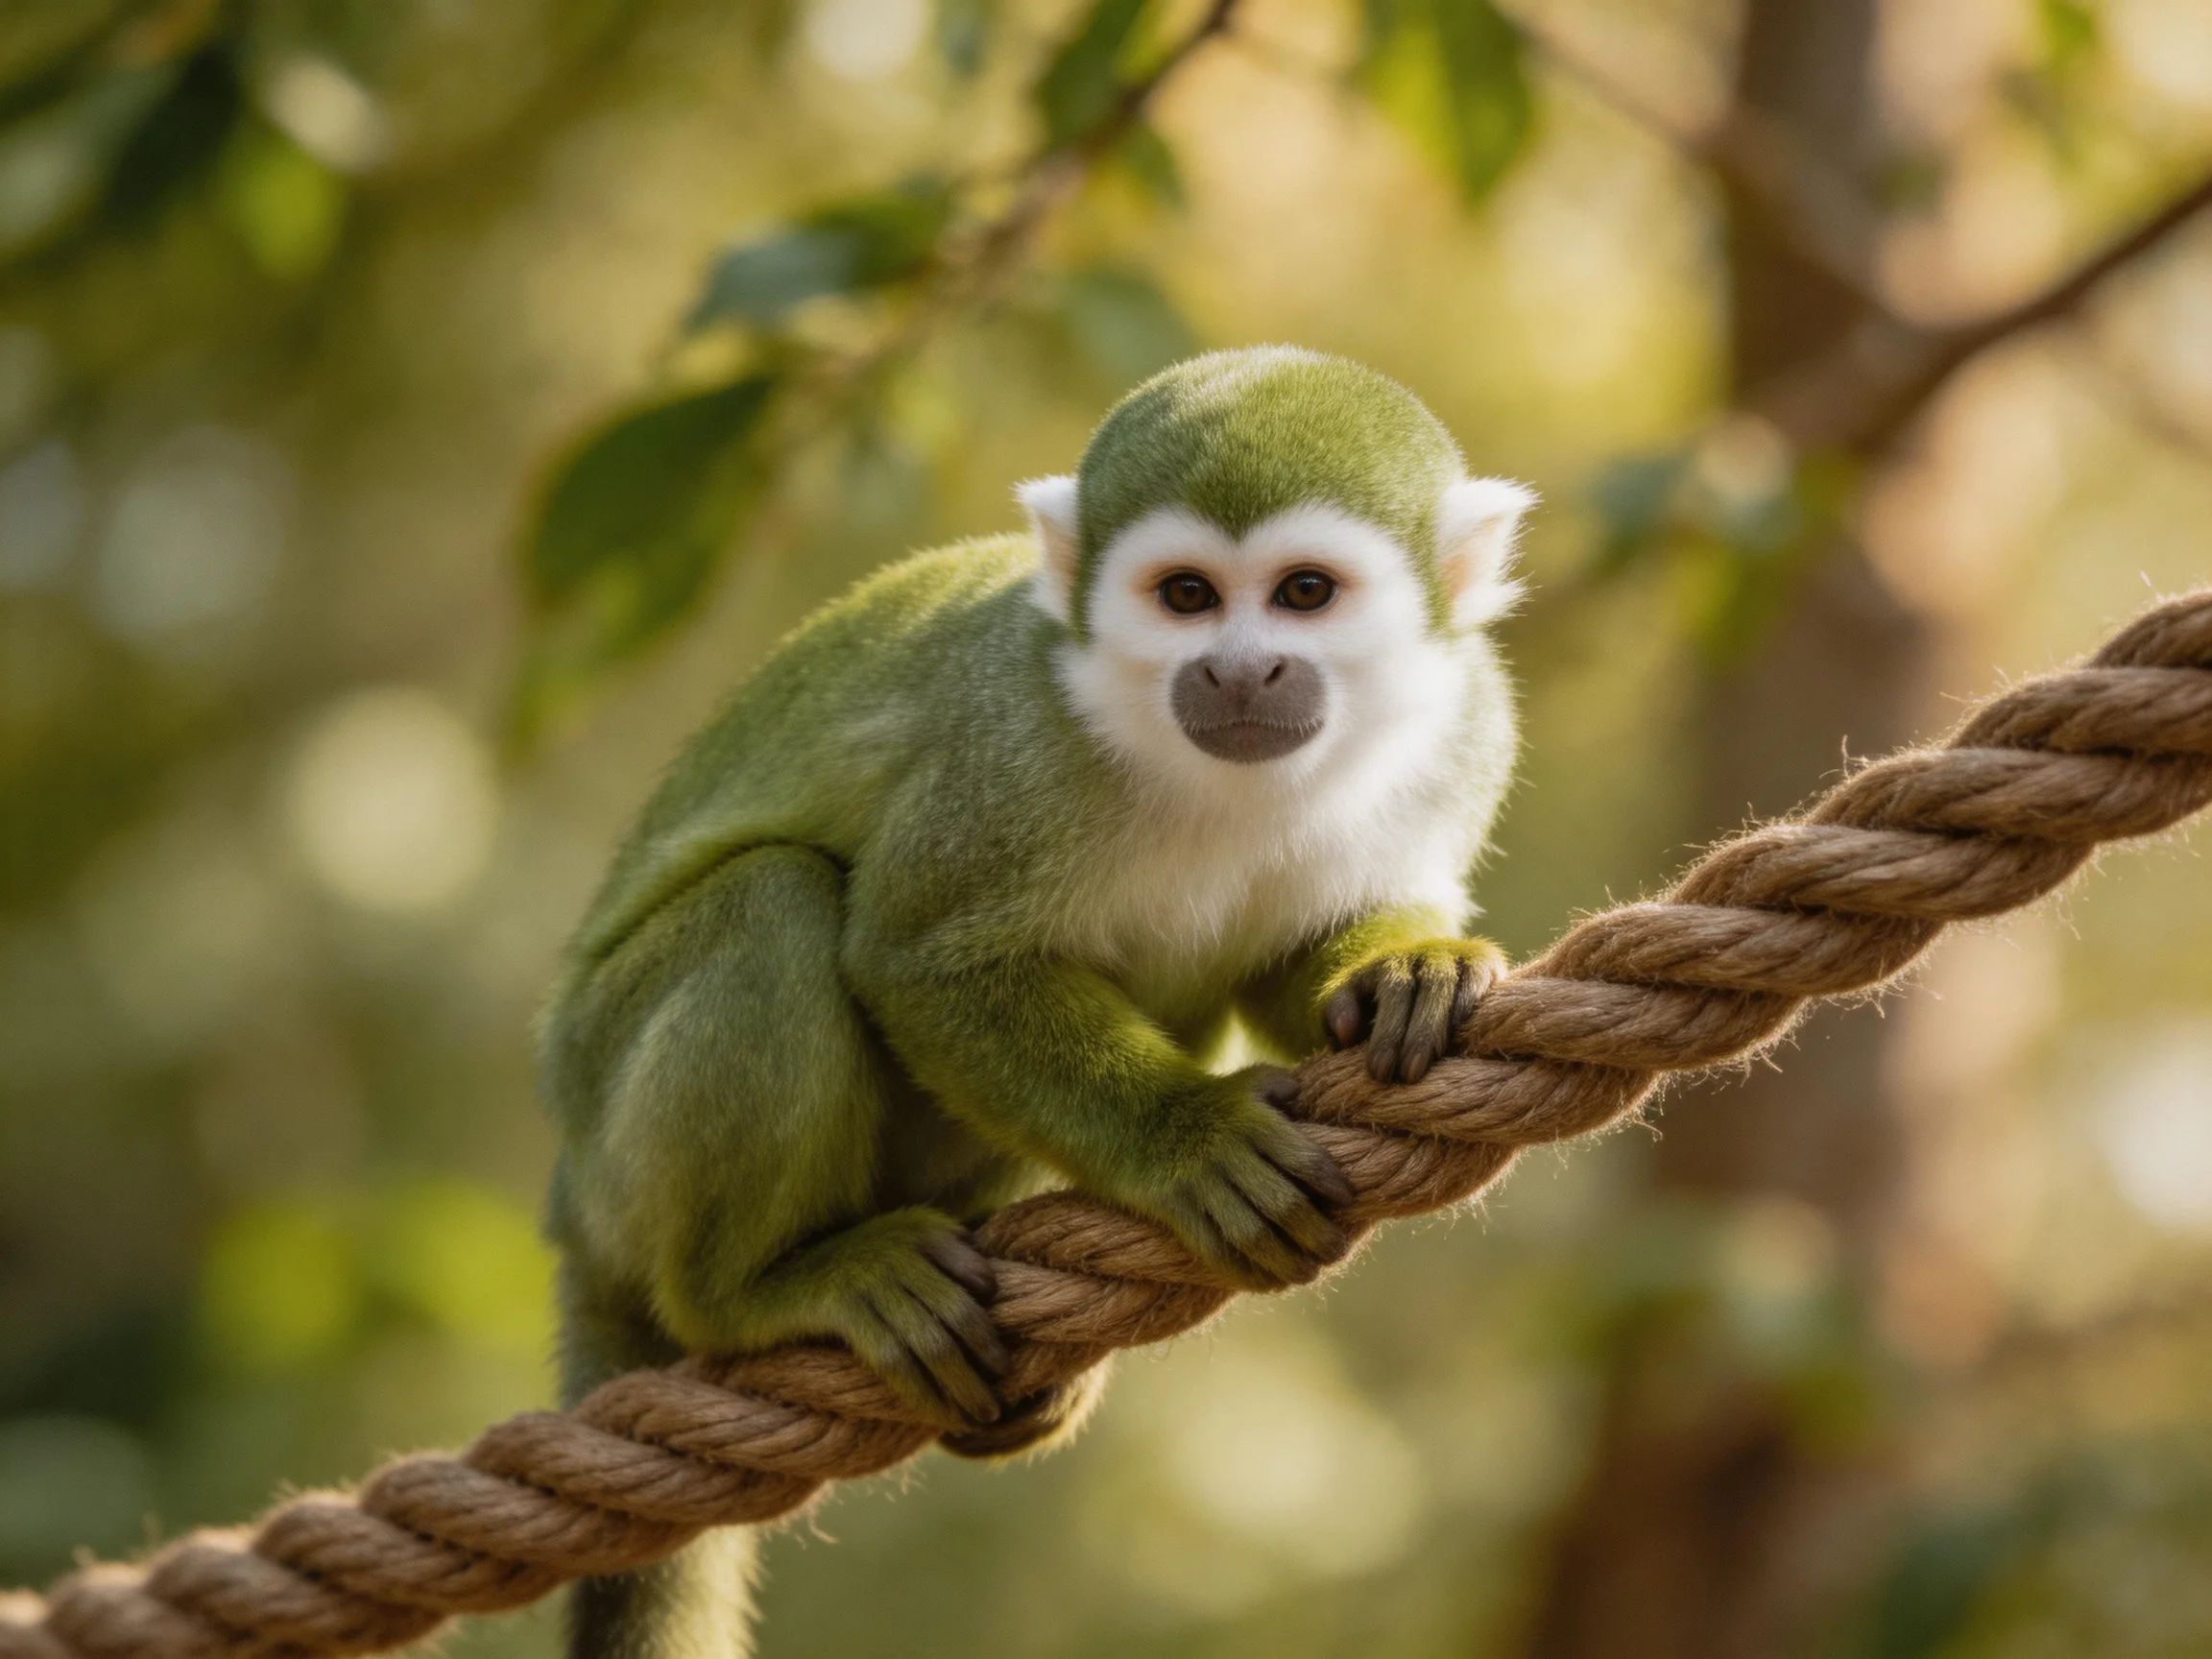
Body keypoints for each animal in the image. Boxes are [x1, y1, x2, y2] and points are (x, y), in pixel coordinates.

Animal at [538, 346, 1532, 1659]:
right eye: (1186, 597)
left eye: (1305, 594)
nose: (1238, 669)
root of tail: (567, 1202)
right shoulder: (1015, 743)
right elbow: (920, 956)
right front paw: (1186, 1137)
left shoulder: (1469, 726)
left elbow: (1299, 971)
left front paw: (1402, 970)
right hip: (609, 1130)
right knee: (776, 901)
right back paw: (760, 1291)